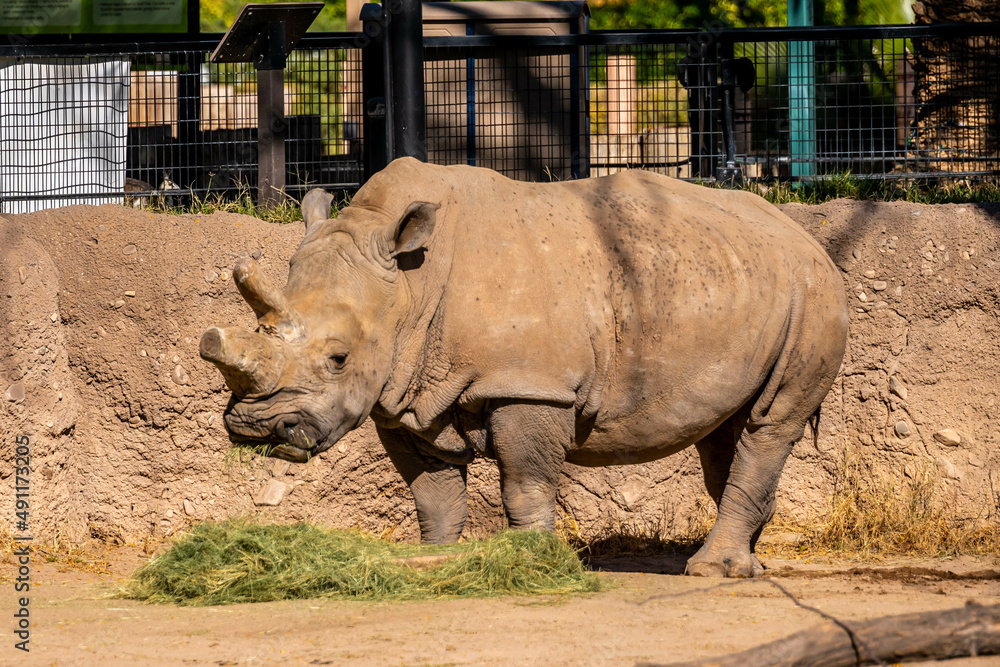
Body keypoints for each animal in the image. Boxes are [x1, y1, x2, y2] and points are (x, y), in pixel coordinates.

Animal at [200, 157, 848, 577]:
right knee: (725, 430)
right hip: (745, 284)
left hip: (811, 292)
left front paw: (533, 561)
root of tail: (802, 232)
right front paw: (437, 562)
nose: (255, 429)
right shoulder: (404, 396)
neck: (409, 286)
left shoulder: (533, 386)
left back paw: (715, 571)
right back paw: (748, 559)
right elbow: (433, 494)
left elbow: (524, 483)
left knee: (770, 423)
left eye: (337, 359)